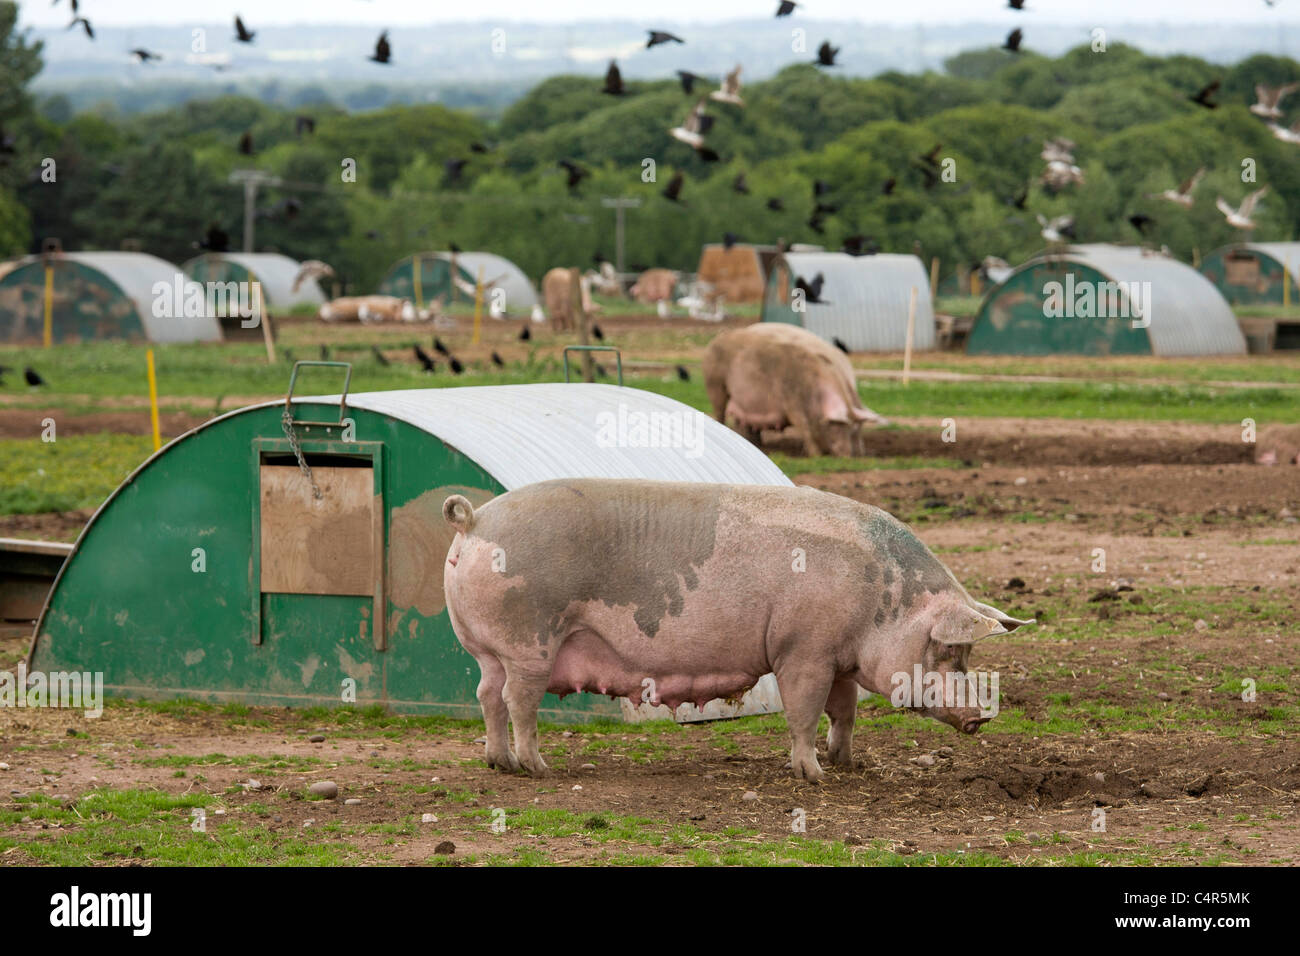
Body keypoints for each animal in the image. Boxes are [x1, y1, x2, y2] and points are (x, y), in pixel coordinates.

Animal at [441, 481, 1029, 780]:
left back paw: (498, 764)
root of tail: (475, 520)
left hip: (486, 650)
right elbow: (804, 713)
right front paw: (812, 776)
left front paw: (847, 764)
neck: (883, 602)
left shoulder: (838, 659)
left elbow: (845, 712)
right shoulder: (803, 651)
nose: (981, 716)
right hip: (529, 643)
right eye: (947, 653)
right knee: (518, 701)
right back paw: (537, 768)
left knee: (486, 695)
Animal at [707, 323, 889, 457]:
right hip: (715, 384)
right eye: (837, 427)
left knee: (744, 424)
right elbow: (805, 429)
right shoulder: (792, 403)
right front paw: (815, 455)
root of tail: (720, 337)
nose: (849, 455)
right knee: (719, 413)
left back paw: (754, 445)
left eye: (855, 429)